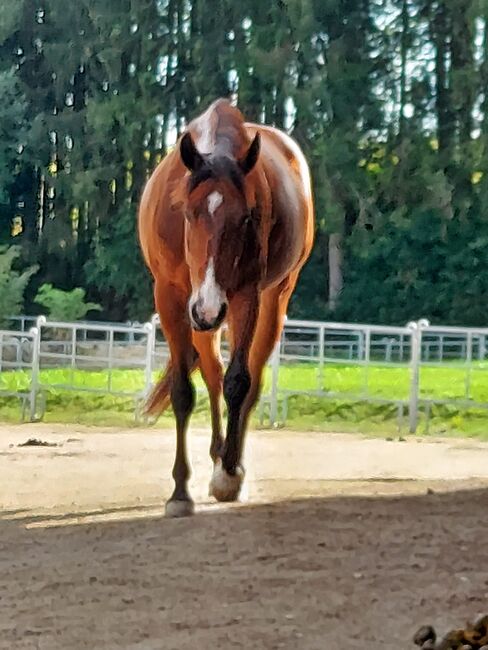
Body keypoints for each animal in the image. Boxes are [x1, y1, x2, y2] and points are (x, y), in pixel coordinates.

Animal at [137, 98, 314, 512]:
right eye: (188, 212)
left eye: (246, 217)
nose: (207, 310)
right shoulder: (172, 297)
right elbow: (184, 391)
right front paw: (179, 491)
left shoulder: (245, 296)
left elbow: (239, 382)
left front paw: (229, 475)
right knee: (211, 373)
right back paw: (217, 453)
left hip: (267, 300)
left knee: (249, 378)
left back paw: (229, 465)